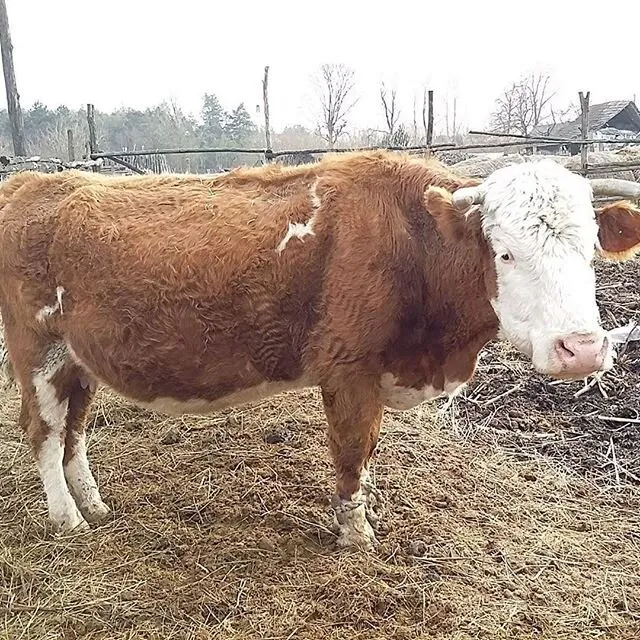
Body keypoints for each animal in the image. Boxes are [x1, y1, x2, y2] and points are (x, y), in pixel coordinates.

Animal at [1, 151, 639, 551]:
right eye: (504, 252)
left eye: (589, 249)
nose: (582, 350)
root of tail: (31, 183)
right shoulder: (349, 369)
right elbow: (353, 451)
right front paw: (357, 534)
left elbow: (369, 453)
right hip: (38, 352)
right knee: (43, 431)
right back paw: (68, 521)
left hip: (78, 360)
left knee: (74, 429)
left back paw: (93, 505)